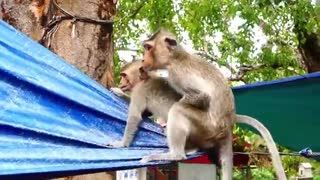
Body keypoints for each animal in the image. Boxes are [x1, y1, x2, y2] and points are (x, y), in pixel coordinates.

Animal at [109, 60, 284, 180]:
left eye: (124, 76)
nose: (121, 83)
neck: (145, 78)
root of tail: (227, 119)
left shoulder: (139, 91)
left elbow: (135, 117)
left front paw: (121, 144)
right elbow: (144, 114)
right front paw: (118, 92)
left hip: (205, 124)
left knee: (177, 112)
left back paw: (176, 154)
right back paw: (191, 149)